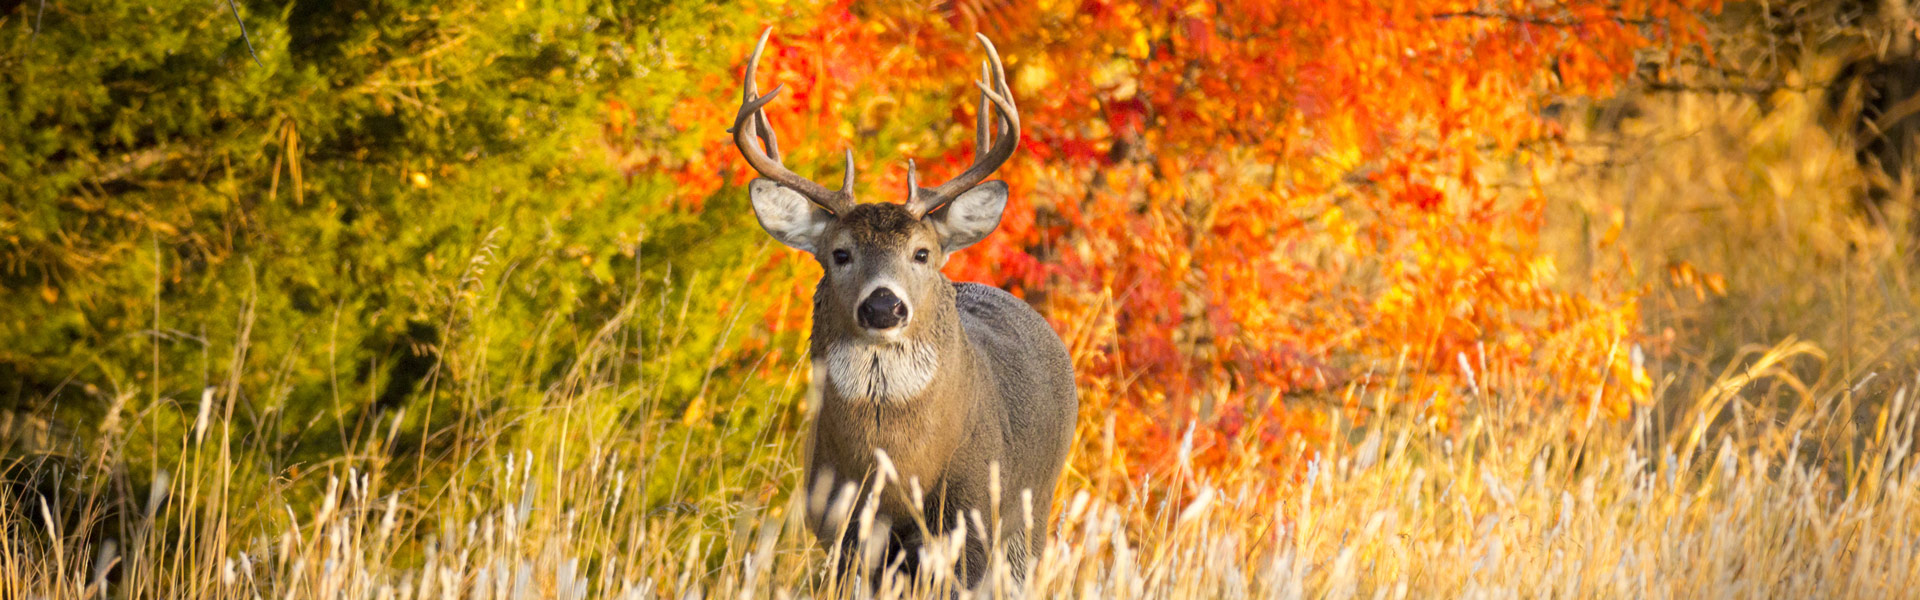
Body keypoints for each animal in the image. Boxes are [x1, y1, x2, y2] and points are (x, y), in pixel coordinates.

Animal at [725, 30, 1082, 588]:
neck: (896, 470)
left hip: (1032, 511)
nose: (883, 305)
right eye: (840, 253)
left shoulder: (971, 524)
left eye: (922, 253)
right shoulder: (842, 529)